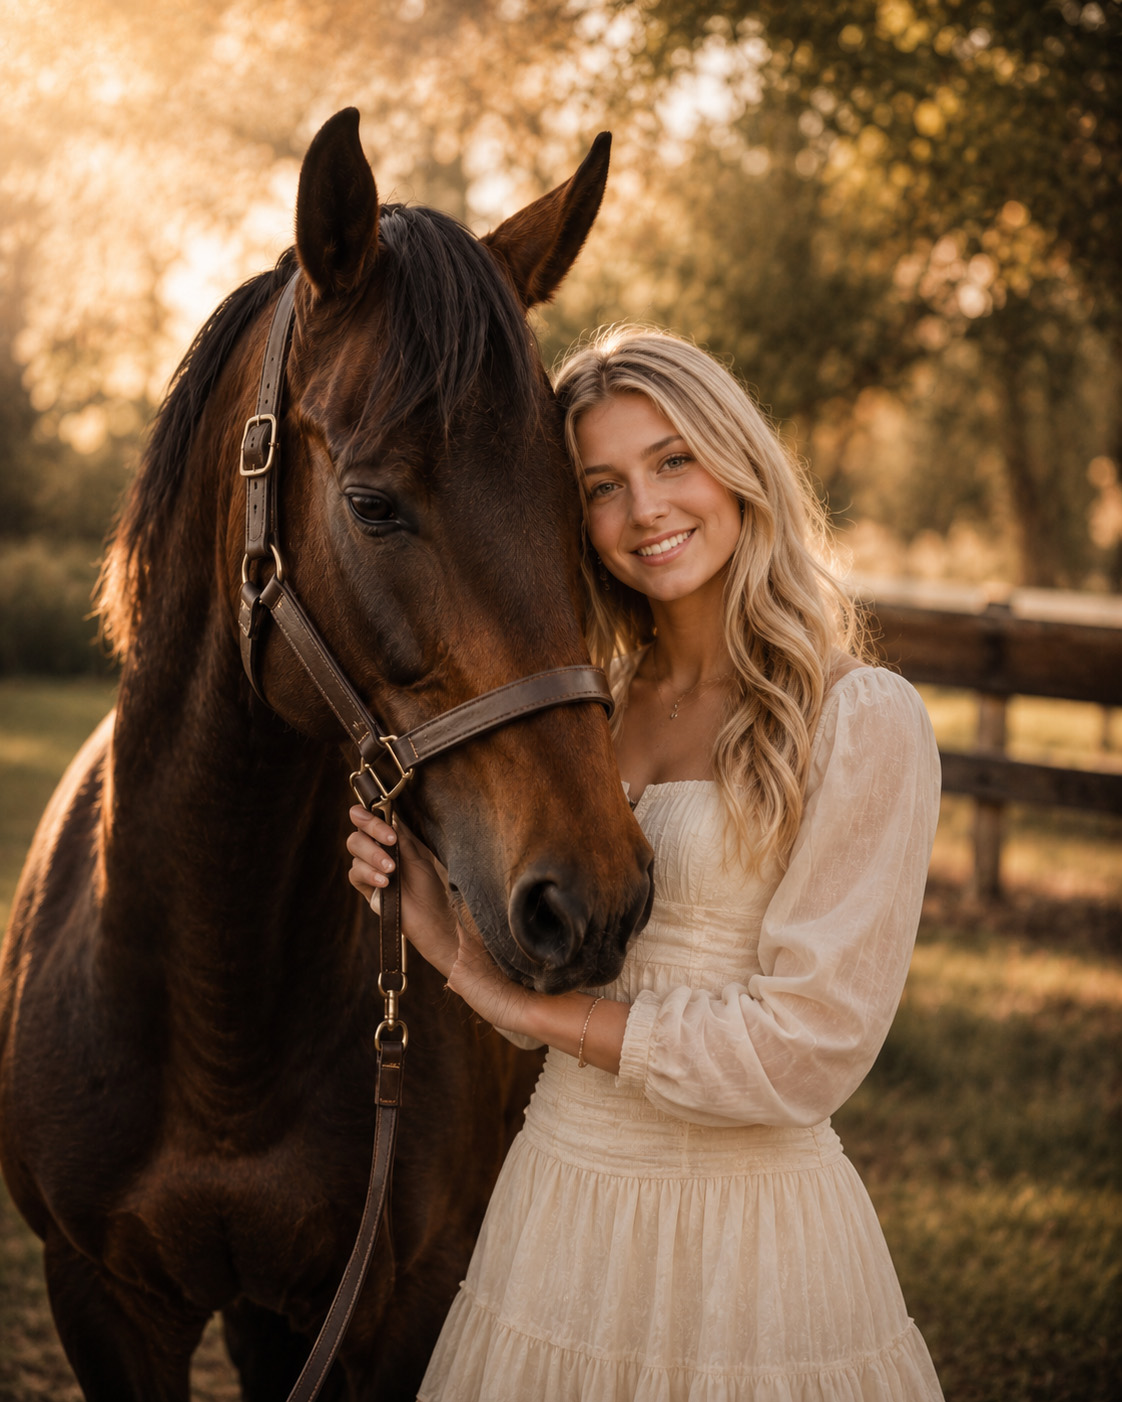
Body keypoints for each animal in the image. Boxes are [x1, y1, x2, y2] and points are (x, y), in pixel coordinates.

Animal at [0, 108, 653, 1401]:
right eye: (372, 504)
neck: (219, 1016)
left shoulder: (397, 1304)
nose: (591, 897)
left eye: (581, 501)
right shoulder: (102, 1299)